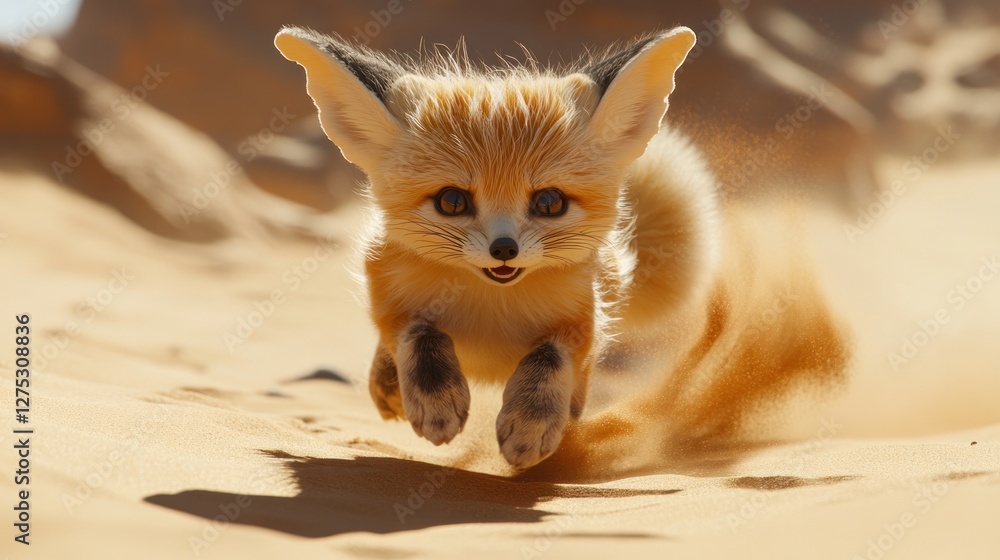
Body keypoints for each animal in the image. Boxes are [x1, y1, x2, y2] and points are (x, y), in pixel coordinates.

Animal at [274, 26, 720, 469]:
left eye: (549, 202)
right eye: (453, 202)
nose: (504, 249)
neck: (490, 312)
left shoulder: (581, 321)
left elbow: (550, 359)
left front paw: (531, 426)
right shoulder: (391, 302)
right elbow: (420, 335)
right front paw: (435, 404)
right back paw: (389, 388)